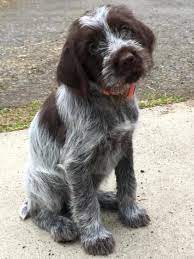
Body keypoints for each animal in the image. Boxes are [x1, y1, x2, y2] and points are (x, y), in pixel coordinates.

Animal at [20, 5, 155, 256]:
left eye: (125, 29)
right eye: (92, 47)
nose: (127, 58)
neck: (111, 100)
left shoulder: (125, 145)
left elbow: (128, 182)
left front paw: (129, 211)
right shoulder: (76, 163)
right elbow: (84, 204)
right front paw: (95, 237)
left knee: (85, 195)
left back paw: (108, 198)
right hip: (46, 181)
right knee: (43, 212)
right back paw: (60, 224)